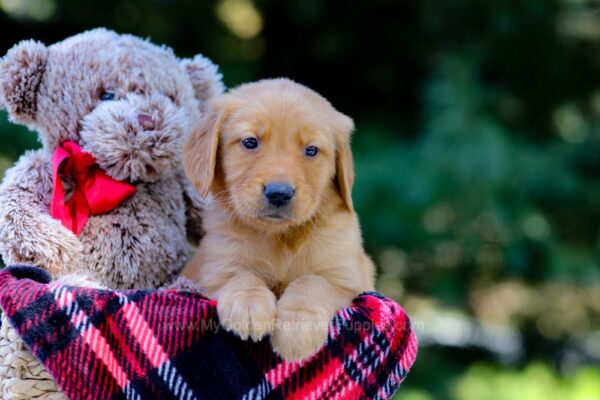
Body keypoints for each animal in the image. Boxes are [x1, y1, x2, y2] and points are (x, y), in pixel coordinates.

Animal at [183, 77, 372, 360]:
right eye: (250, 142)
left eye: (311, 150)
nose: (279, 193)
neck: (280, 237)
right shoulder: (215, 268)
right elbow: (240, 275)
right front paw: (249, 306)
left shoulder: (348, 279)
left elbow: (313, 281)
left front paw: (298, 327)